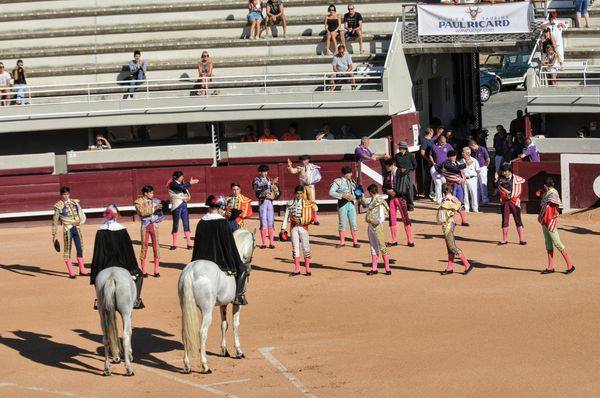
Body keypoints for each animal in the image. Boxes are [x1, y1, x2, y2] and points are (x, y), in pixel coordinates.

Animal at [178, 229, 253, 374]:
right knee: (202, 332)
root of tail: (191, 271)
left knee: (185, 332)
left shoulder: (223, 304)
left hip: (185, 307)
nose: (249, 268)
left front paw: (224, 350)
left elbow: (224, 324)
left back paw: (187, 365)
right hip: (207, 310)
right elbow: (235, 324)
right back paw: (205, 366)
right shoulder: (237, 304)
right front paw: (239, 351)